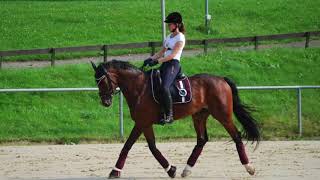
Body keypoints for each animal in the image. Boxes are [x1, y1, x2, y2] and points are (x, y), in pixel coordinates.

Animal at [90, 59, 260, 178]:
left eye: (102, 81)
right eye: (96, 81)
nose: (105, 102)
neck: (139, 88)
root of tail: (221, 79)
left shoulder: (141, 123)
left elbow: (128, 146)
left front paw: (115, 171)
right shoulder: (145, 124)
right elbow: (152, 147)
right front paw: (171, 169)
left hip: (223, 115)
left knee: (236, 136)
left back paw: (249, 167)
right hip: (199, 116)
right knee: (202, 140)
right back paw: (187, 170)